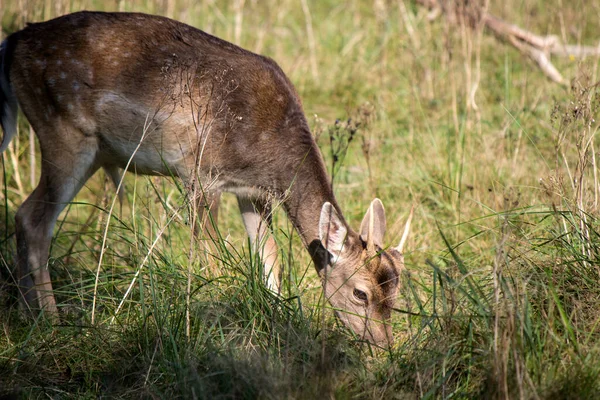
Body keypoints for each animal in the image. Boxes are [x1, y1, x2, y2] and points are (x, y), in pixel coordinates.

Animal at [0, 10, 412, 346]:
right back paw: (52, 321)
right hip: (64, 131)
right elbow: (214, 257)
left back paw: (24, 315)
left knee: (22, 215)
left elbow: (269, 261)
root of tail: (12, 42)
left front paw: (281, 325)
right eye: (360, 293)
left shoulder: (253, 192)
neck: (269, 154)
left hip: (91, 148)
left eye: (396, 293)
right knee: (36, 220)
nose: (384, 344)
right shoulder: (200, 175)